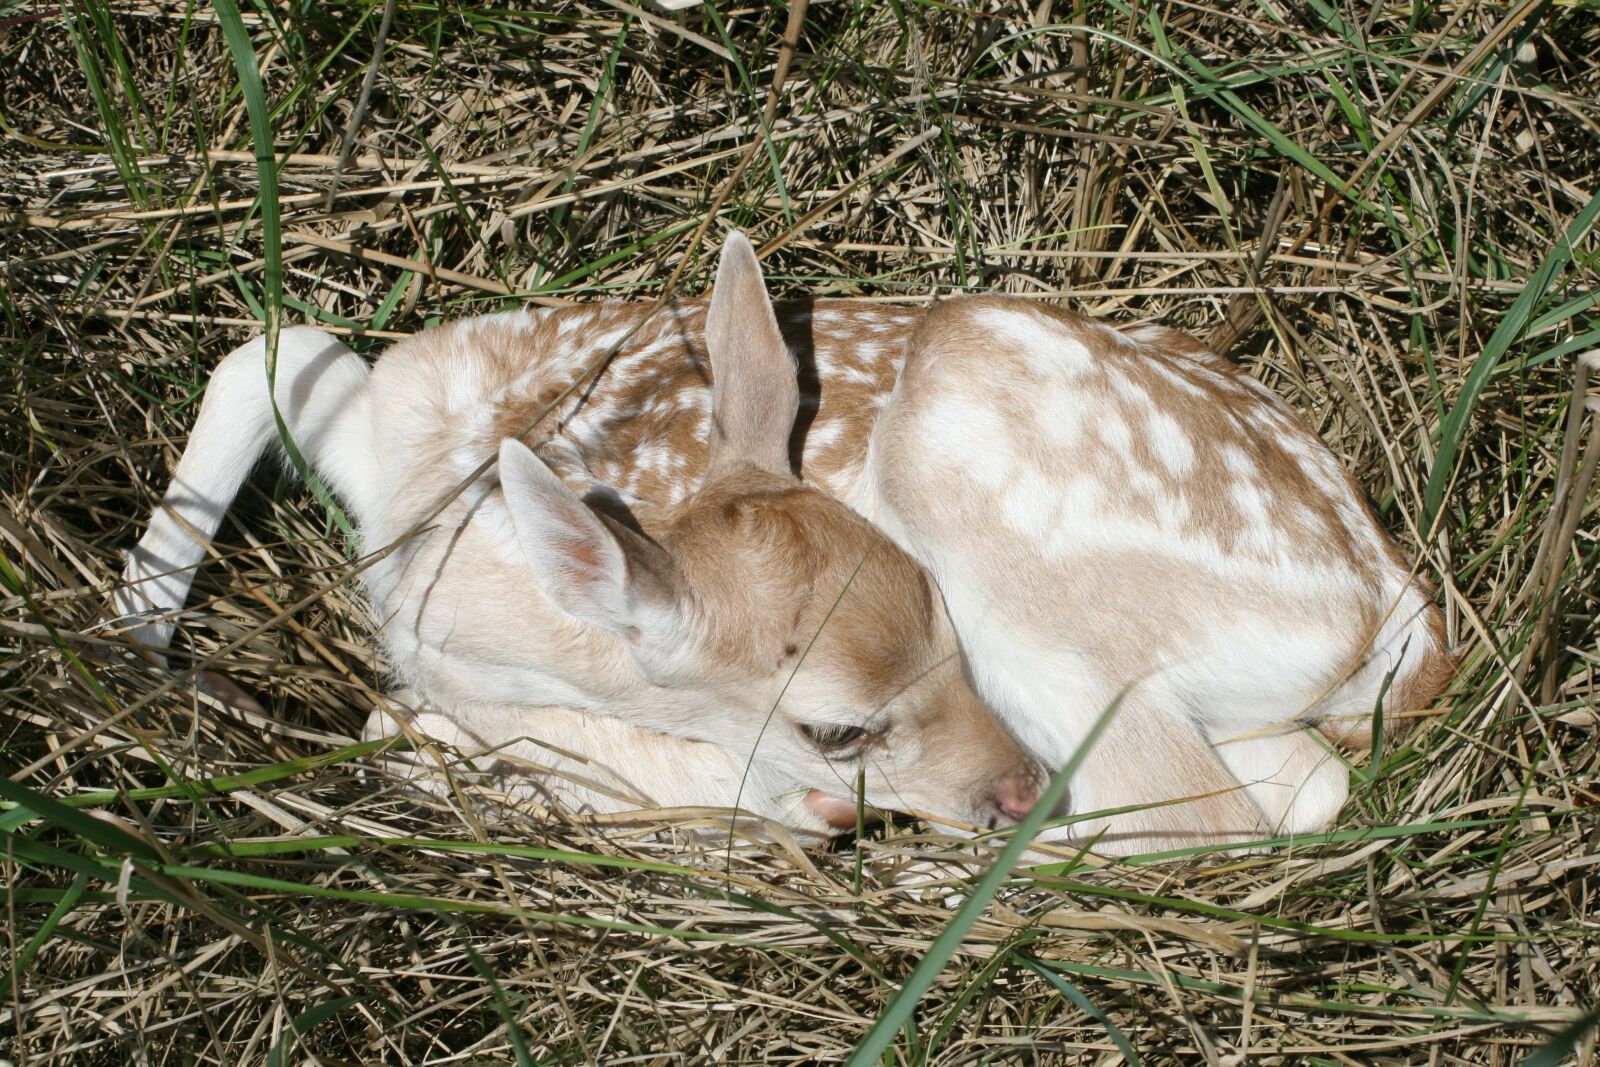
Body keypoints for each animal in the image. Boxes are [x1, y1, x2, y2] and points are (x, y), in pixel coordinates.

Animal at [114, 231, 1453, 855]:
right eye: (838, 724)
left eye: (941, 618)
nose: (1006, 786)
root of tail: (1392, 603)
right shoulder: (402, 422)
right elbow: (267, 344)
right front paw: (133, 649)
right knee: (1299, 785)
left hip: (971, 448)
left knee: (1191, 811)